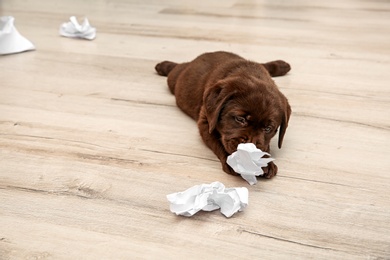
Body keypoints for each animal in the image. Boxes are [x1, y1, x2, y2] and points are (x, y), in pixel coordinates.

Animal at [154, 51, 290, 180]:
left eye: (268, 128)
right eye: (240, 119)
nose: (248, 149)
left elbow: (264, 145)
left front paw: (265, 162)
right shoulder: (206, 122)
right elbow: (220, 142)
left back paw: (282, 65)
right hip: (175, 79)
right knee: (176, 68)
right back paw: (163, 65)